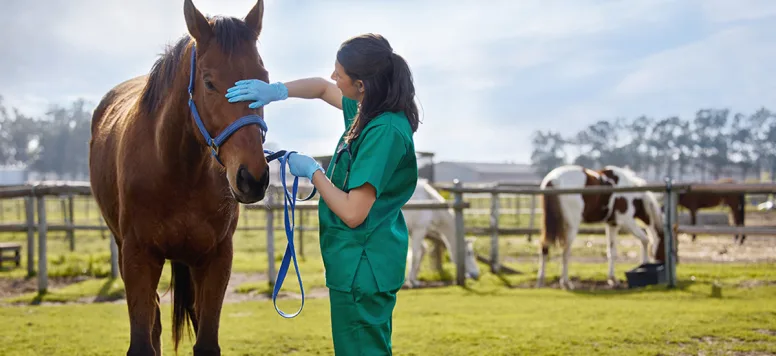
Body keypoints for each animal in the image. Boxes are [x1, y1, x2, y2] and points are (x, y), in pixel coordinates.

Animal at [88, 1, 272, 354]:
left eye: (264, 78)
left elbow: (206, 342)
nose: (252, 177)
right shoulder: (137, 257)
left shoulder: (217, 259)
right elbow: (144, 340)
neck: (177, 170)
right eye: (209, 82)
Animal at [536, 164, 668, 290]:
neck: (632, 194)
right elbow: (645, 240)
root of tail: (553, 180)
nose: (664, 263)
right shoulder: (626, 221)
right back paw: (566, 283)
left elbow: (612, 251)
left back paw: (541, 280)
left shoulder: (612, 224)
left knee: (544, 247)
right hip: (572, 226)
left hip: (548, 224)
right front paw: (644, 265)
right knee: (565, 252)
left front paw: (613, 279)